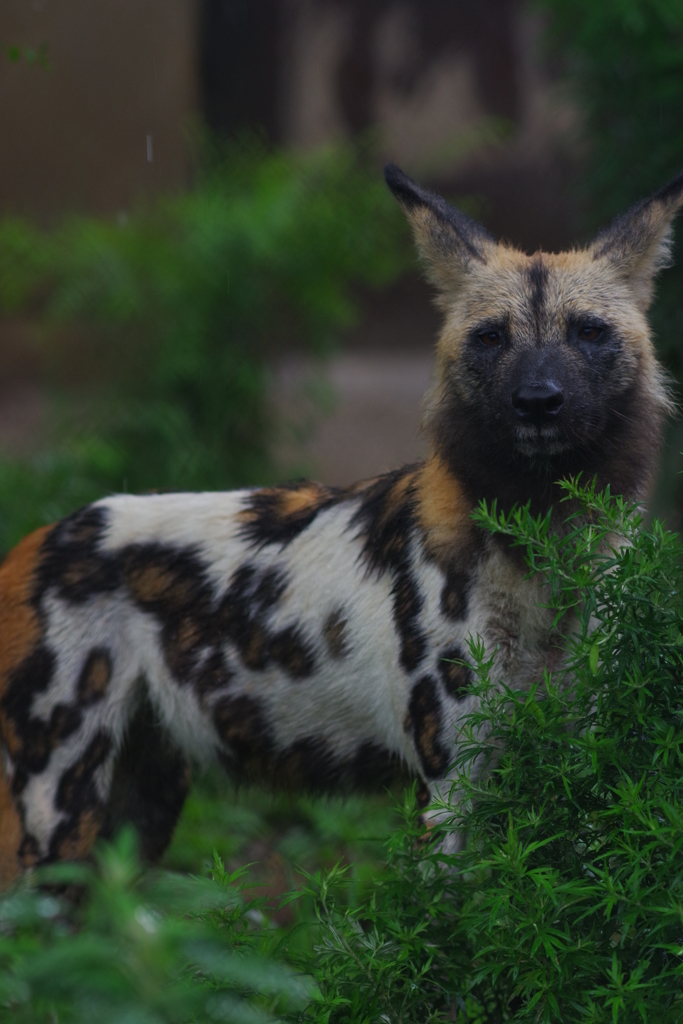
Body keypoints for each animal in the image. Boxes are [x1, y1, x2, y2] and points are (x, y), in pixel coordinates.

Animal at [0, 163, 679, 884]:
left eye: (587, 332)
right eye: (491, 337)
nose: (538, 401)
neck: (542, 540)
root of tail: (34, 542)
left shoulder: (587, 753)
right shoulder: (448, 783)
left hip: (137, 811)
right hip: (56, 817)